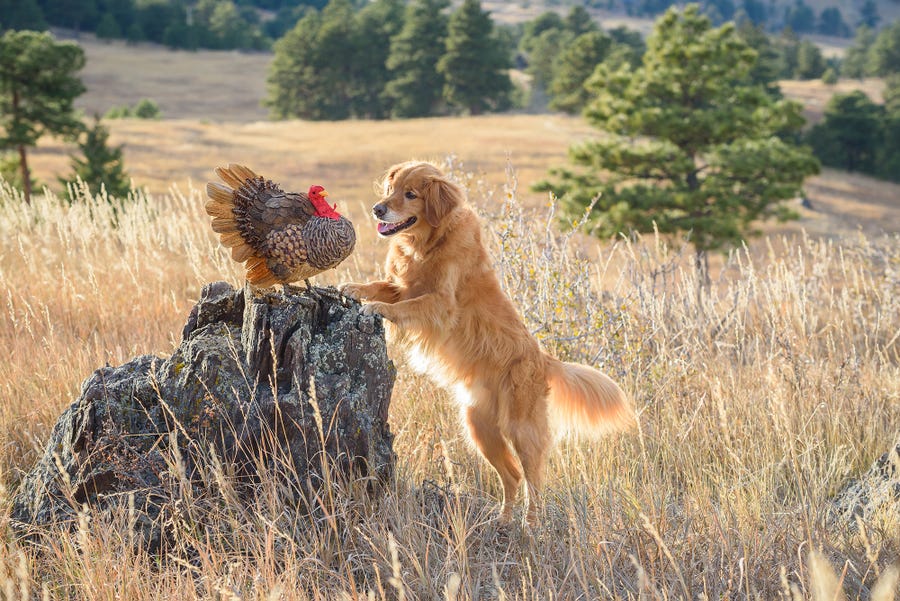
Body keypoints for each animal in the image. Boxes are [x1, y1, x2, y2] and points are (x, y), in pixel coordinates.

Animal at [342, 162, 636, 524]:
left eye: (410, 194)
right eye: (390, 188)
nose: (378, 209)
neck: (429, 242)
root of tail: (544, 360)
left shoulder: (439, 304)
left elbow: (403, 307)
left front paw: (376, 308)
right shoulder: (402, 286)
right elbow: (380, 285)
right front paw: (354, 288)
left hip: (521, 429)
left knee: (534, 480)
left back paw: (529, 525)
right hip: (480, 429)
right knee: (511, 475)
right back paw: (503, 521)